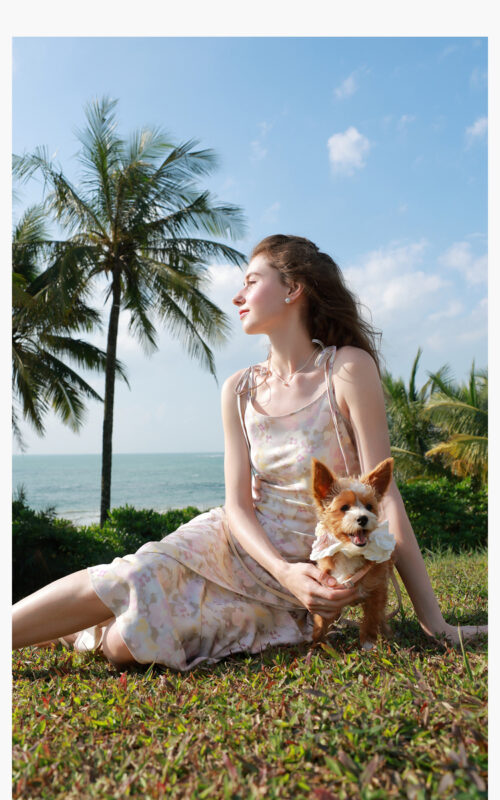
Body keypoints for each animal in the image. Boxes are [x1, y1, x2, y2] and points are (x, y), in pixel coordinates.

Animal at [308, 456, 394, 648]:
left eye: (369, 507)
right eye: (344, 508)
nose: (363, 518)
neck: (348, 552)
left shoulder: (376, 591)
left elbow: (371, 618)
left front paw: (368, 643)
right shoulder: (328, 593)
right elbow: (320, 620)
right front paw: (318, 644)